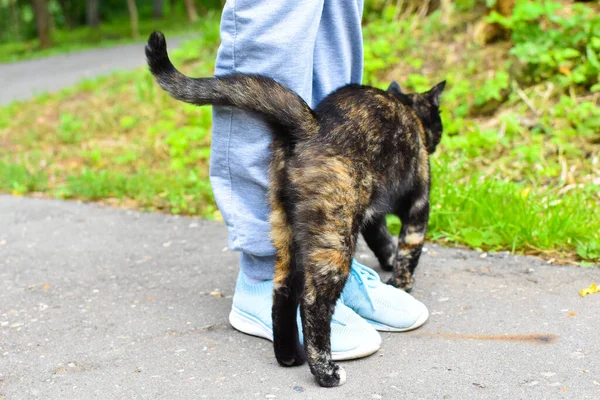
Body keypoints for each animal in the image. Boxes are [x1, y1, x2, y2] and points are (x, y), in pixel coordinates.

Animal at [146, 32, 446, 388]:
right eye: (438, 121)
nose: (438, 138)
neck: (407, 110)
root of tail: (313, 125)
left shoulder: (371, 215)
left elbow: (382, 239)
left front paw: (387, 264)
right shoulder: (418, 204)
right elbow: (408, 250)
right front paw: (402, 284)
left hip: (285, 227)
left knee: (283, 291)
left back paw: (289, 356)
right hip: (335, 232)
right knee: (313, 302)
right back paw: (326, 372)